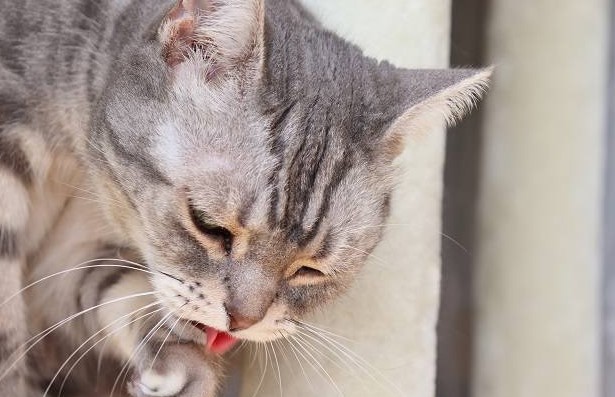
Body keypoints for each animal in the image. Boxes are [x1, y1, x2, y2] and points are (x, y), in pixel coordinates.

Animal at [0, 0, 490, 394]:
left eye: (309, 270)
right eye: (210, 226)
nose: (242, 322)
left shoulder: (73, 262)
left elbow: (116, 289)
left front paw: (184, 365)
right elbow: (7, 337)